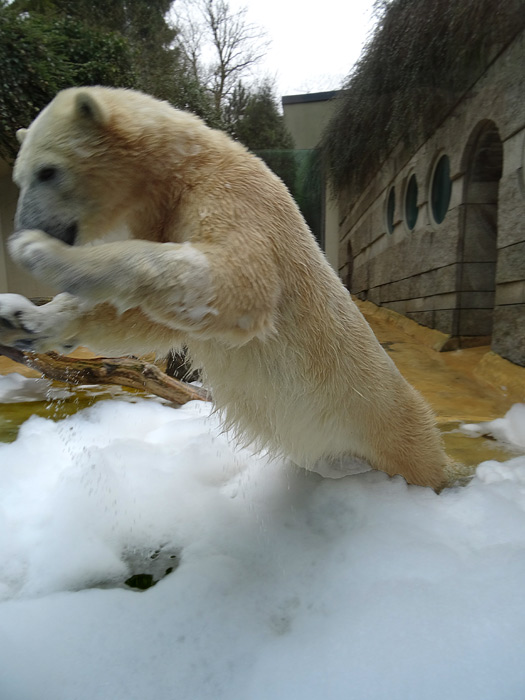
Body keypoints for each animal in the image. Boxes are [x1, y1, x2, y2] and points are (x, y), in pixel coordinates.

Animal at [0, 86, 450, 486]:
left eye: (47, 171)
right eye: (19, 176)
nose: (24, 225)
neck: (185, 166)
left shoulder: (234, 196)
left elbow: (235, 285)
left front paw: (40, 252)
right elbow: (149, 318)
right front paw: (22, 319)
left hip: (393, 431)